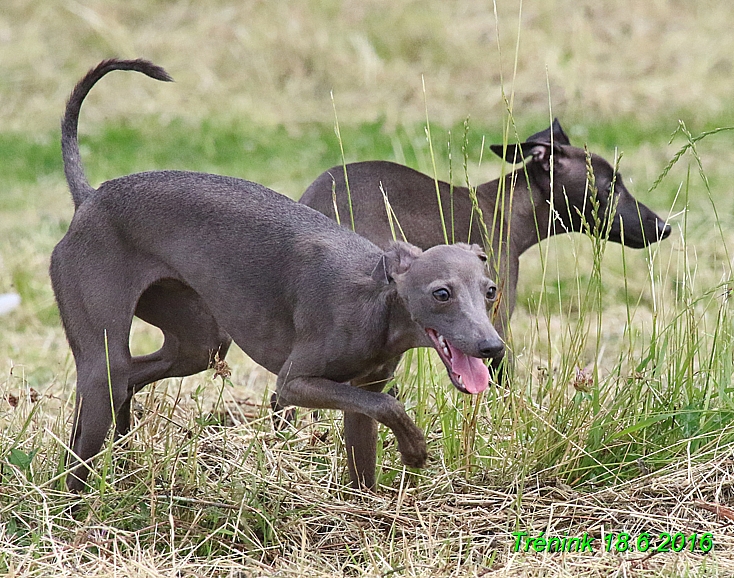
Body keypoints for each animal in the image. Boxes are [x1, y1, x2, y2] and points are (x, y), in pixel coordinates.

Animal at [53, 58, 506, 490]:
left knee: (134, 379)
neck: (378, 303)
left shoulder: (362, 394)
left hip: (200, 340)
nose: (492, 347)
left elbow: (367, 450)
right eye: (441, 293)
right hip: (103, 356)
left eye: (490, 291)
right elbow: (389, 404)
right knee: (93, 422)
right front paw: (414, 450)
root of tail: (90, 198)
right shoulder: (294, 383)